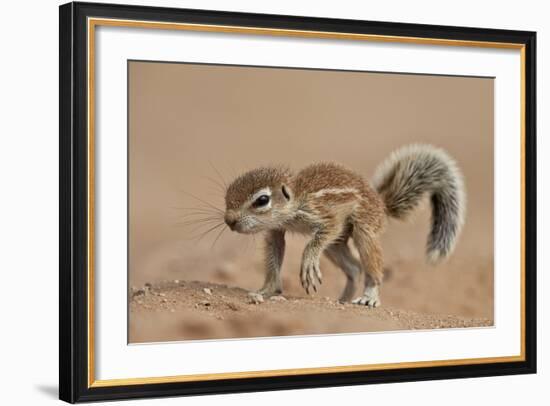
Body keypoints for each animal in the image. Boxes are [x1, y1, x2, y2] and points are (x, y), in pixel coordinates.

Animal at [223, 144, 466, 306]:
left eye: (262, 200)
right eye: (227, 195)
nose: (229, 221)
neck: (297, 198)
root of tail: (382, 205)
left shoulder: (324, 216)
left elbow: (318, 238)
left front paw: (308, 263)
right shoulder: (276, 230)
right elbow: (275, 253)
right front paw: (267, 289)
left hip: (364, 228)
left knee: (371, 268)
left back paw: (369, 297)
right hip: (335, 245)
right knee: (354, 268)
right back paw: (342, 299)